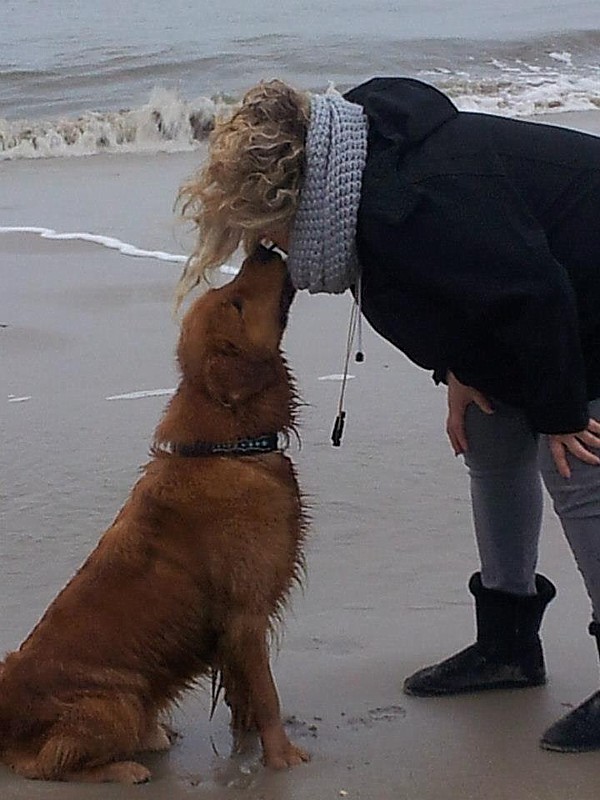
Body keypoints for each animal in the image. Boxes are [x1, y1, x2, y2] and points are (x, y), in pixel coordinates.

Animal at [0, 246, 309, 783]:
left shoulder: (234, 633)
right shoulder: (245, 614)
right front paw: (280, 757)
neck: (228, 446)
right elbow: (266, 693)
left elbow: (245, 693)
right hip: (116, 703)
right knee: (48, 764)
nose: (263, 248)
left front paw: (250, 739)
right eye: (236, 303)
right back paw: (126, 767)